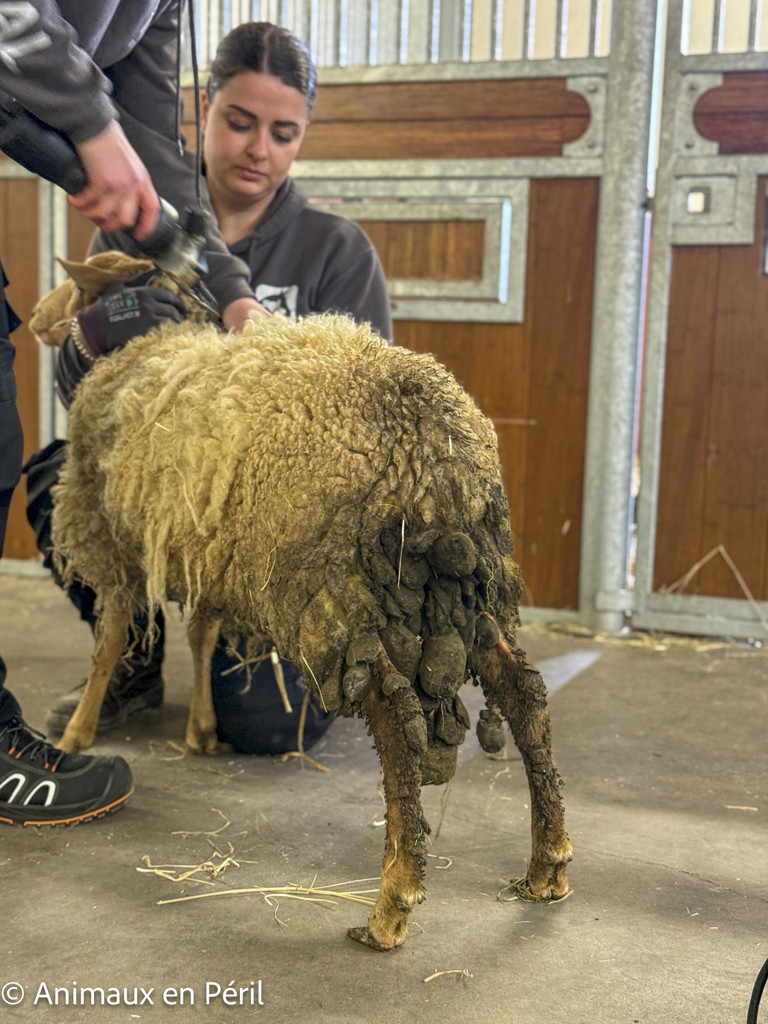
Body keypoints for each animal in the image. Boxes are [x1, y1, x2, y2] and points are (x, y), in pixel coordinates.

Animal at [30, 253, 573, 951]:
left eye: (75, 285)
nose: (37, 318)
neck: (146, 341)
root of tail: (433, 449)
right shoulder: (211, 552)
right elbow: (201, 637)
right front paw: (202, 730)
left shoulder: (113, 535)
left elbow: (109, 644)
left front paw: (78, 733)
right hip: (469, 591)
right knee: (525, 696)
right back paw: (547, 864)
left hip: (335, 596)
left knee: (397, 728)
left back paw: (391, 906)